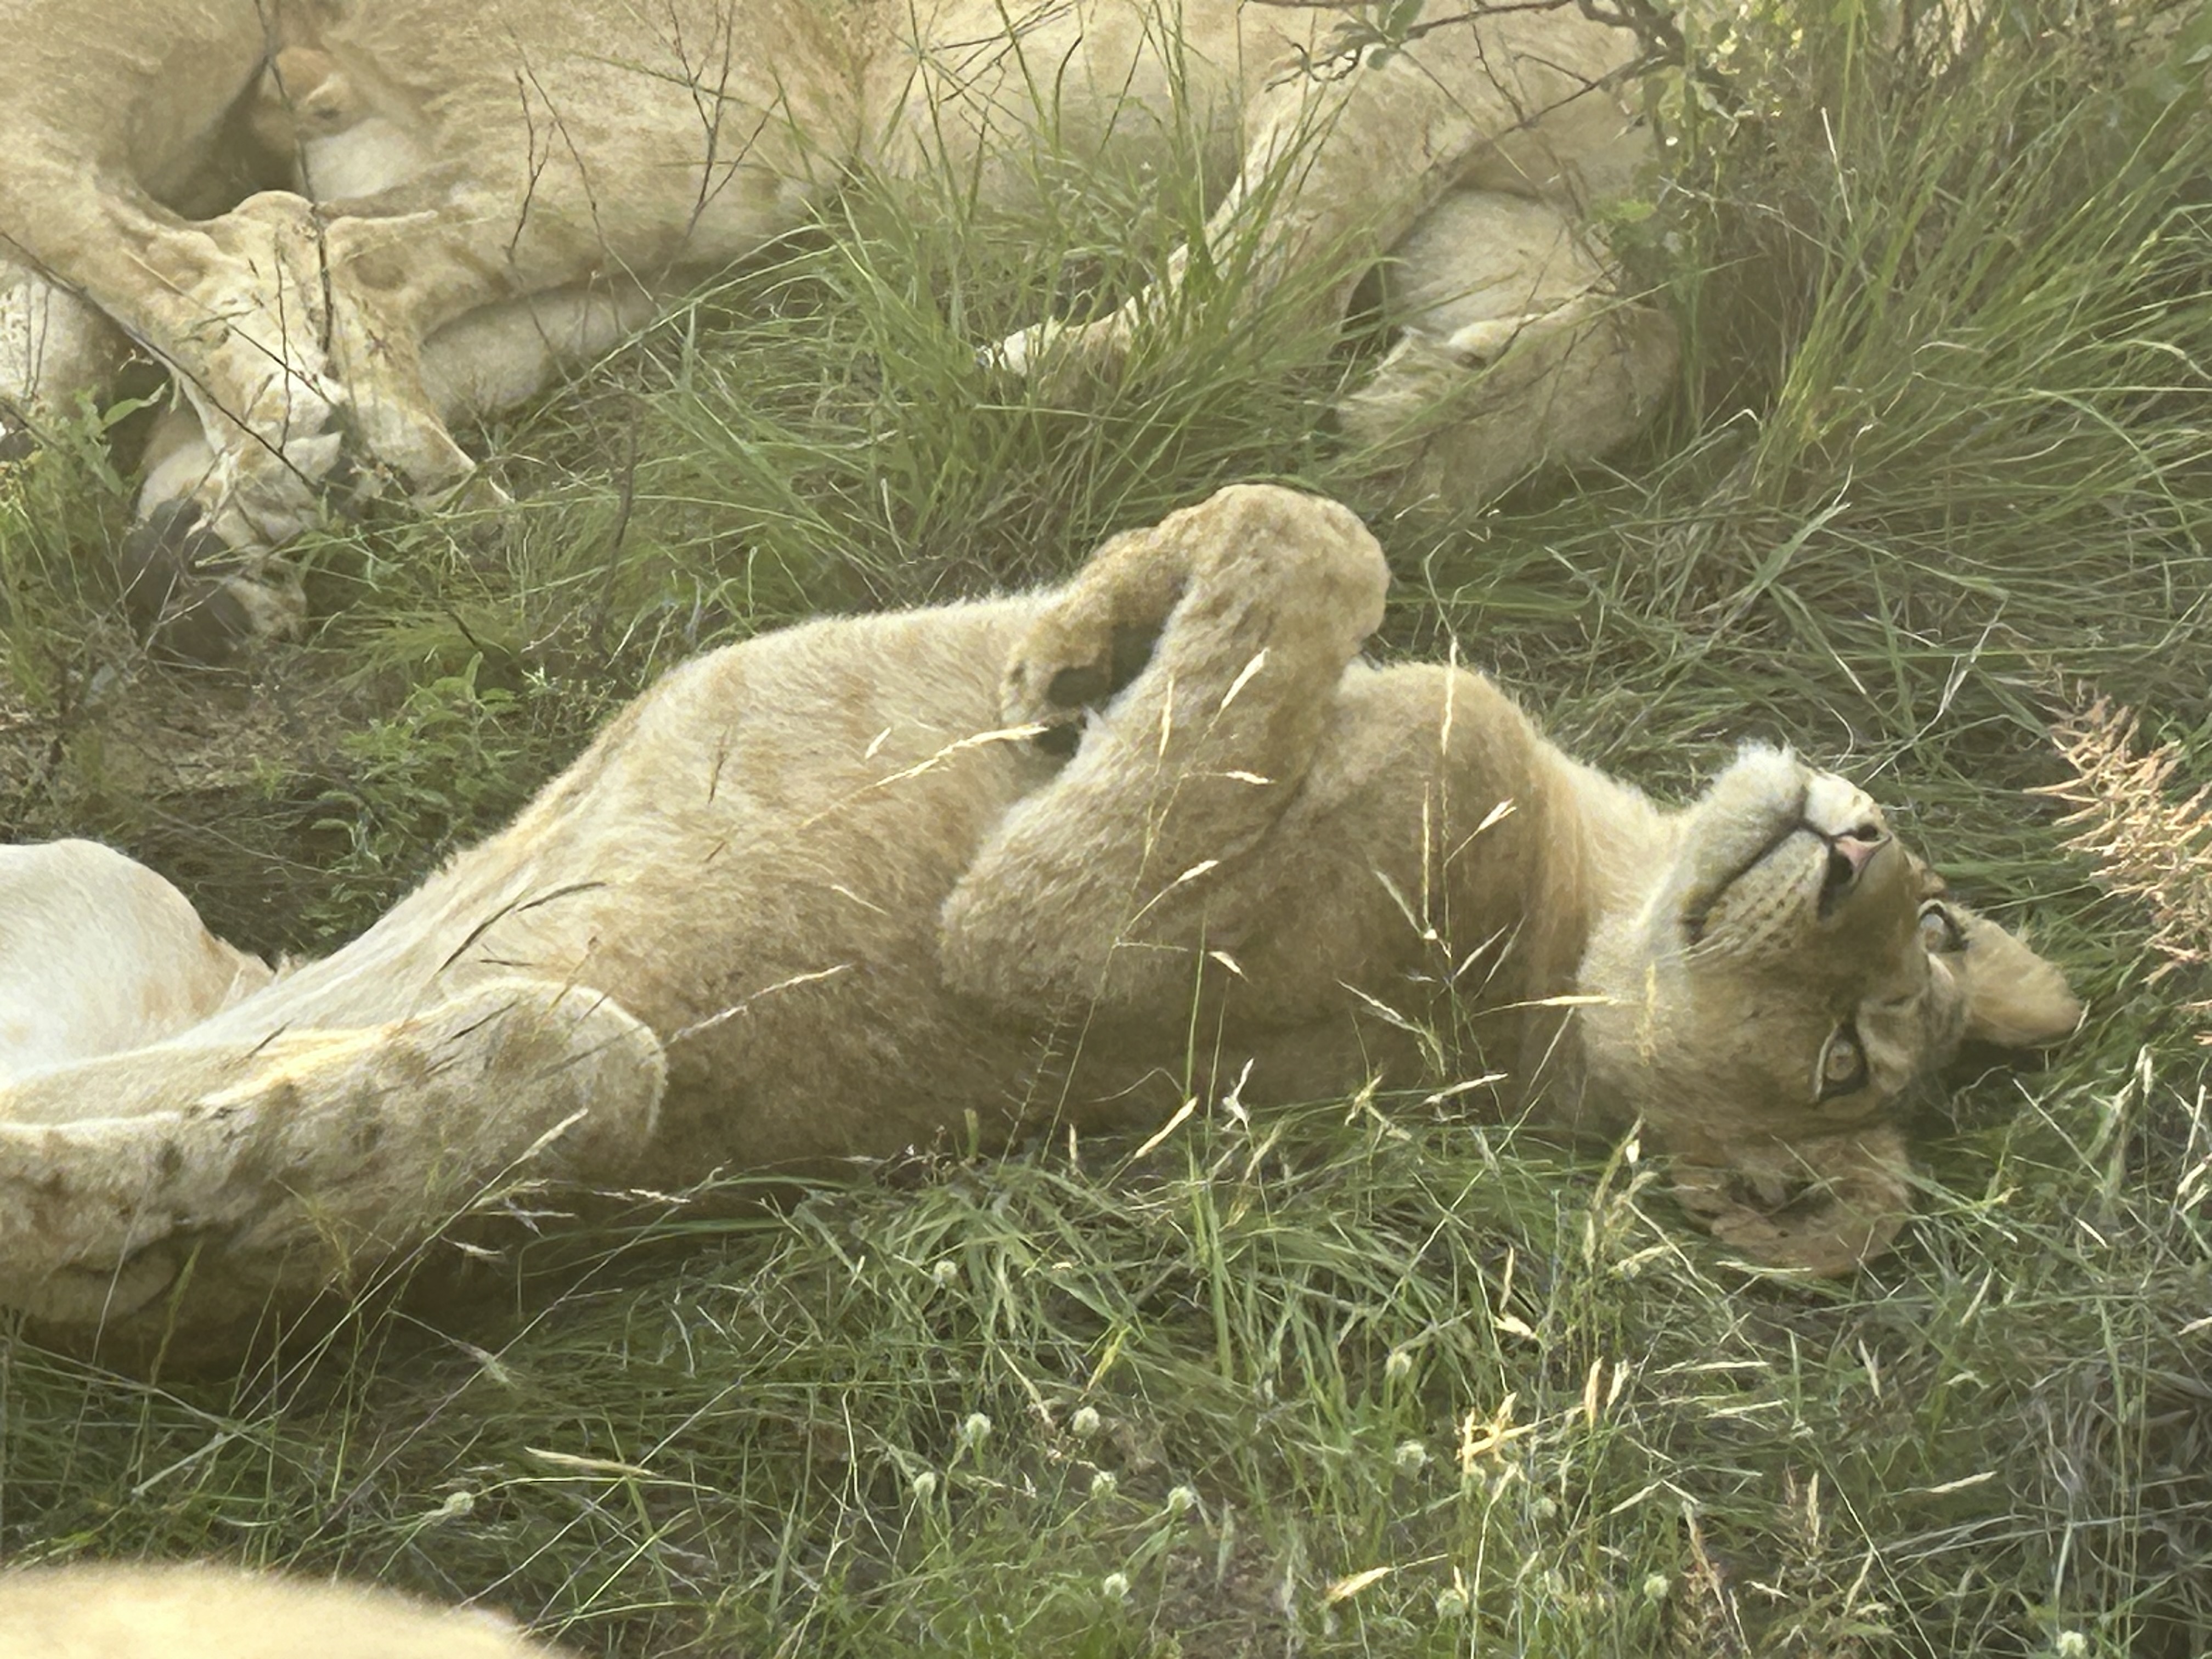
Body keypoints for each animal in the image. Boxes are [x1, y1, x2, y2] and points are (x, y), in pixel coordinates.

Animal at [0, 0, 1675, 654]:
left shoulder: (1518, 182)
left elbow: (1612, 348)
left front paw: (1407, 448)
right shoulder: (1395, 55)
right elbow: (1266, 291)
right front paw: (1050, 393)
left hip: (695, 215)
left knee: (291, 277)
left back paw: (225, 556)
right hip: (721, 126)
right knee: (273, 246)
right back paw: (330, 495)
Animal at [0, 485, 2079, 1357]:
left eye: (1848, 1058)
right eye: (1936, 944)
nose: (1862, 852)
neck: (1582, 899)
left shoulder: (1054, 928)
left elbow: (1320, 548)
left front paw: (1095, 651)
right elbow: (1294, 530)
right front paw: (1087, 632)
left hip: (581, 1076)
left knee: (196, 1170)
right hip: (91, 873)